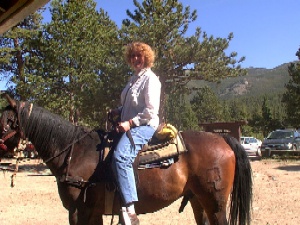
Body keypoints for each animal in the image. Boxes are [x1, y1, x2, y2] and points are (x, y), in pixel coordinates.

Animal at [0, 94, 253, 224]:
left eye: (7, 121)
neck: (74, 151)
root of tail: (223, 139)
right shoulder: (92, 212)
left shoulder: (78, 210)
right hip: (197, 200)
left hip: (215, 203)